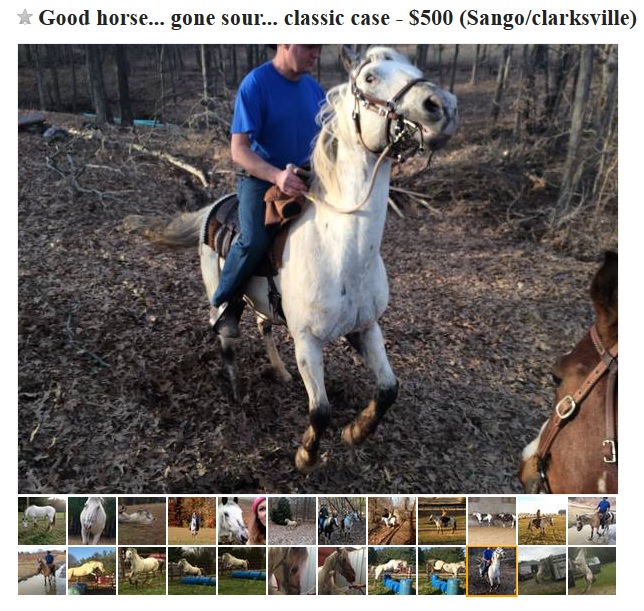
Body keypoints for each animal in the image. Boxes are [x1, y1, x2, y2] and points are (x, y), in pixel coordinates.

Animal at [135, 45, 458, 471]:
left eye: (414, 68)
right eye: (370, 77)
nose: (443, 105)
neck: (343, 254)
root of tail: (213, 208)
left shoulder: (367, 327)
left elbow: (389, 388)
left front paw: (356, 432)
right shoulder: (307, 341)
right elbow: (320, 409)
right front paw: (306, 454)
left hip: (262, 302)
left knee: (263, 326)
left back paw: (279, 371)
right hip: (220, 291)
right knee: (226, 333)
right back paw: (236, 388)